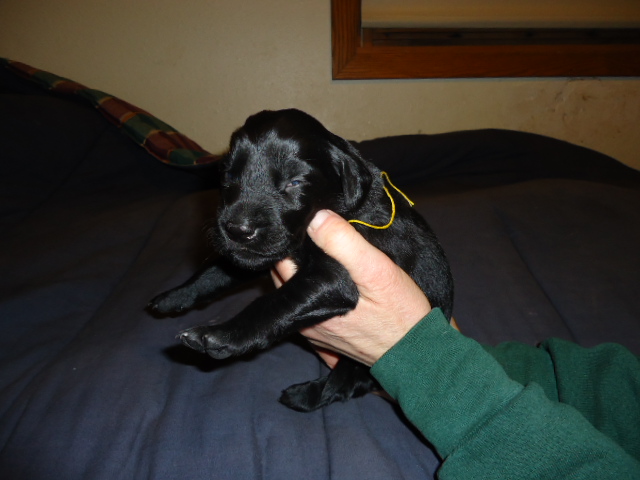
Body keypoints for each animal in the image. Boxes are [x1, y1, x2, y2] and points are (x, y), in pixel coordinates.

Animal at [148, 109, 453, 412]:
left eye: (294, 182)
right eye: (228, 176)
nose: (237, 230)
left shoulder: (337, 275)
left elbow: (273, 302)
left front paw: (221, 335)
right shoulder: (251, 256)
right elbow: (213, 272)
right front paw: (173, 296)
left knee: (342, 386)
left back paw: (303, 396)